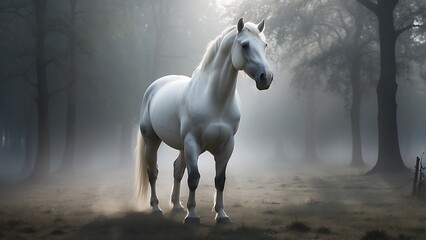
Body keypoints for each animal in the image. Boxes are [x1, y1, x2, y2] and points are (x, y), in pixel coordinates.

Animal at [136, 17, 272, 224]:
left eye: (264, 45)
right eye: (245, 45)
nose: (267, 78)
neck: (215, 100)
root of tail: (154, 87)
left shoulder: (226, 146)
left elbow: (220, 180)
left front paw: (221, 214)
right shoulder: (192, 143)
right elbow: (194, 178)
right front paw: (192, 215)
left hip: (182, 146)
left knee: (177, 170)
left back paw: (177, 206)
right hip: (153, 140)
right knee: (153, 172)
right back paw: (156, 208)